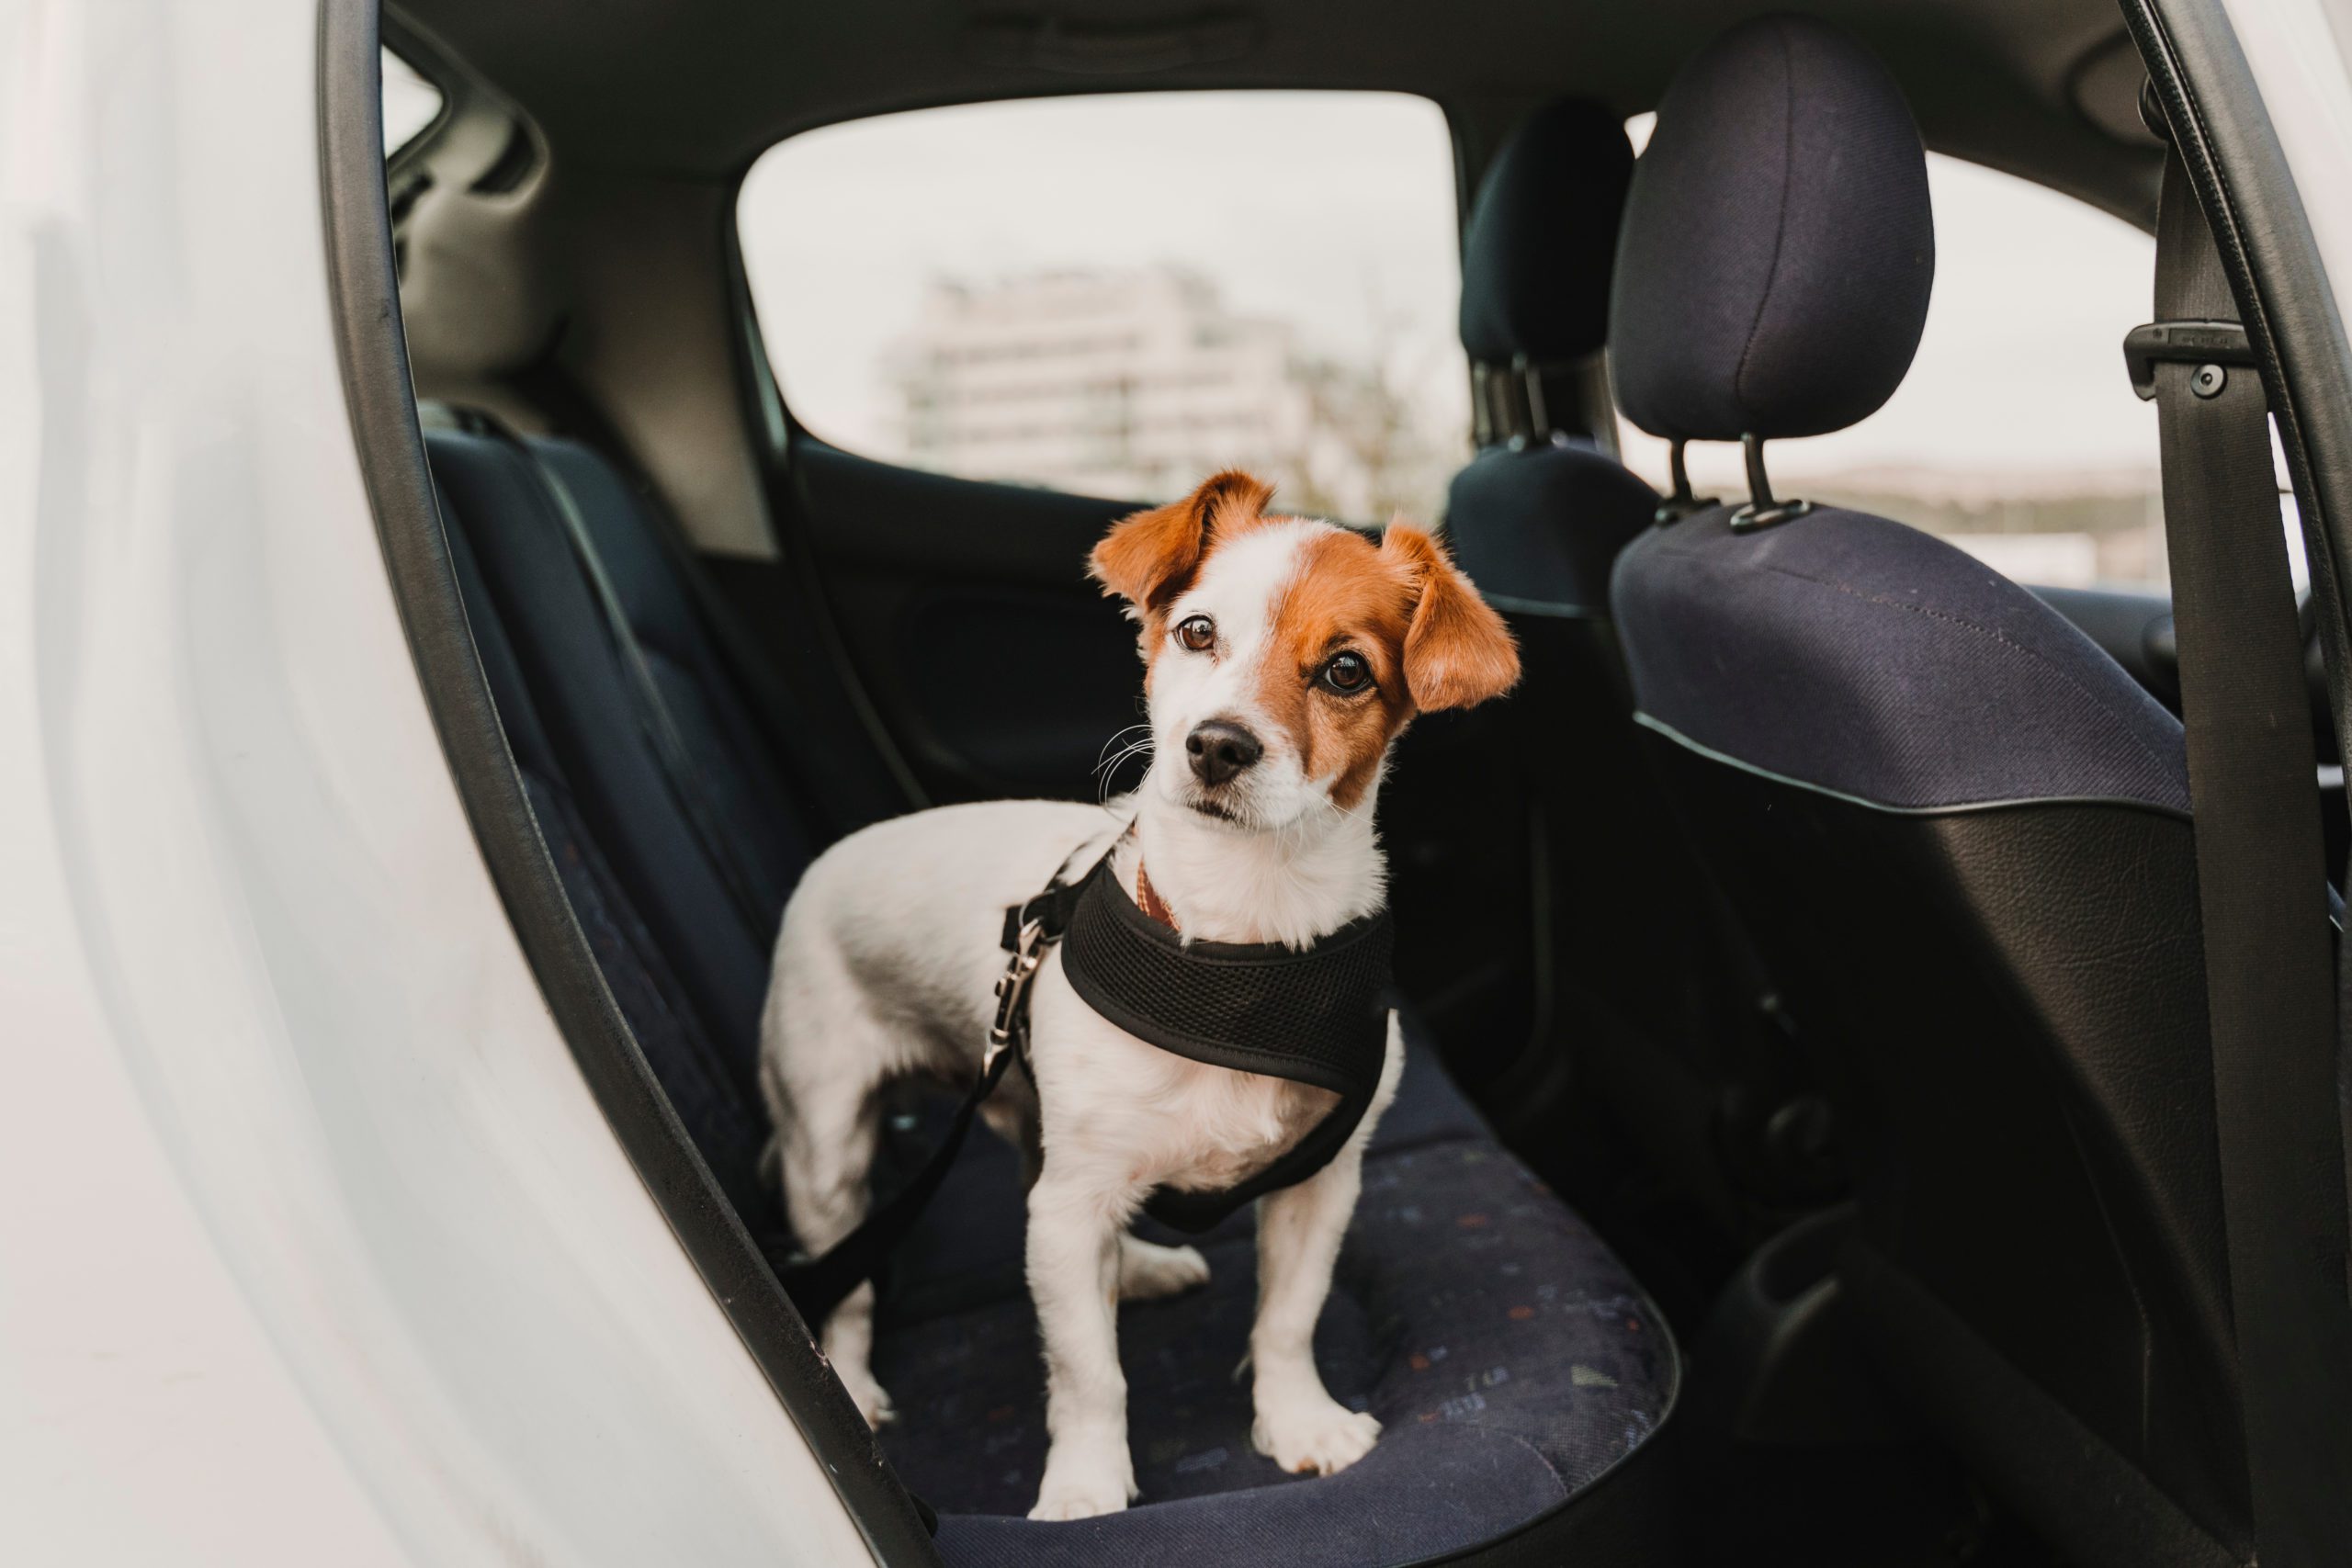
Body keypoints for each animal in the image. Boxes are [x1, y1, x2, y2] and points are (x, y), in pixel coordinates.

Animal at [762, 469, 1514, 1523]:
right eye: (1197, 631)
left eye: (1345, 672)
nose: (1217, 746)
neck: (1237, 945)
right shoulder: (1071, 1205)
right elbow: (1089, 1372)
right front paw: (1084, 1485)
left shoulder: (1319, 1184)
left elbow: (1288, 1317)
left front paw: (1298, 1422)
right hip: (828, 1149)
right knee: (853, 1282)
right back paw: (855, 1383)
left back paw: (1141, 1269)